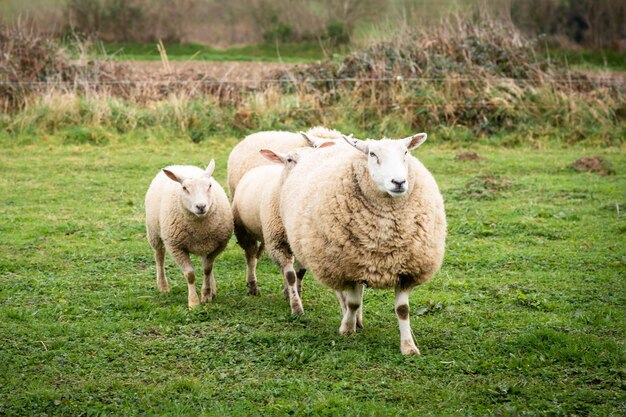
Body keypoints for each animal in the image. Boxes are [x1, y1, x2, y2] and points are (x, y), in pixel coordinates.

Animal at [145, 161, 233, 308]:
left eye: (209, 186)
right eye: (184, 188)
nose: (201, 206)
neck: (200, 228)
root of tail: (179, 165)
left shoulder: (216, 246)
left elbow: (207, 269)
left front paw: (206, 295)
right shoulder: (176, 247)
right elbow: (190, 274)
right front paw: (193, 302)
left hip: (206, 245)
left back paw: (213, 288)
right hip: (154, 232)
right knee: (159, 258)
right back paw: (163, 286)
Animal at [230, 148, 322, 314]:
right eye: (289, 160)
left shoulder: (301, 244)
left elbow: (299, 273)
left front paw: (296, 295)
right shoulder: (276, 242)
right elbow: (291, 275)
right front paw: (296, 307)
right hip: (245, 232)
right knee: (251, 258)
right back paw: (252, 286)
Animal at [280, 133, 446, 354]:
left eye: (405, 152)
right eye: (372, 154)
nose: (399, 182)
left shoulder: (407, 271)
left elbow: (403, 310)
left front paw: (408, 347)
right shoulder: (347, 268)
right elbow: (352, 303)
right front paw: (347, 329)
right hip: (335, 260)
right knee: (344, 295)